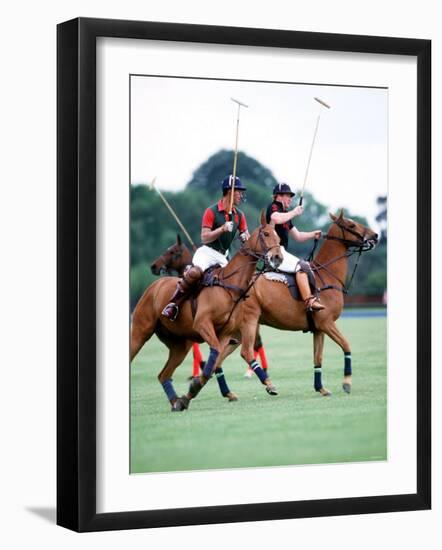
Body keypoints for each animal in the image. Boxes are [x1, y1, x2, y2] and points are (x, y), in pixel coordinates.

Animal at [132, 218, 284, 412]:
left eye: (278, 237)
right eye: (265, 234)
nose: (278, 257)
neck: (229, 285)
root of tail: (153, 286)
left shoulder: (225, 333)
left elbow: (212, 365)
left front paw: (191, 392)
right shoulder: (202, 325)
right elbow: (213, 360)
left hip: (179, 345)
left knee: (163, 375)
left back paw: (176, 402)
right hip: (140, 332)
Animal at [228, 211, 380, 396]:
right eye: (351, 225)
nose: (375, 235)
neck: (326, 275)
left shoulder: (319, 329)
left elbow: (318, 358)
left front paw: (321, 388)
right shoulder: (327, 323)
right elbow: (346, 345)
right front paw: (346, 383)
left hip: (236, 330)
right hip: (249, 321)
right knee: (246, 351)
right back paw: (269, 385)